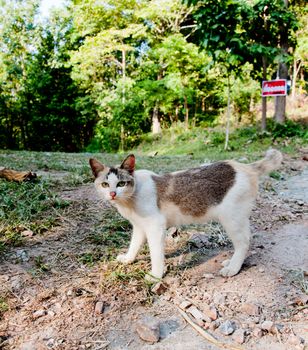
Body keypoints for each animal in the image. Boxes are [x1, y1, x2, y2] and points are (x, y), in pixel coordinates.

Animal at [88, 149, 282, 280]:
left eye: (121, 183)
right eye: (105, 184)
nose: (113, 193)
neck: (129, 200)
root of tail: (244, 166)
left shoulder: (155, 226)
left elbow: (156, 254)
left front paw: (156, 275)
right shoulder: (139, 226)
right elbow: (134, 245)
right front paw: (128, 259)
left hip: (231, 218)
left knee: (243, 241)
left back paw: (233, 268)